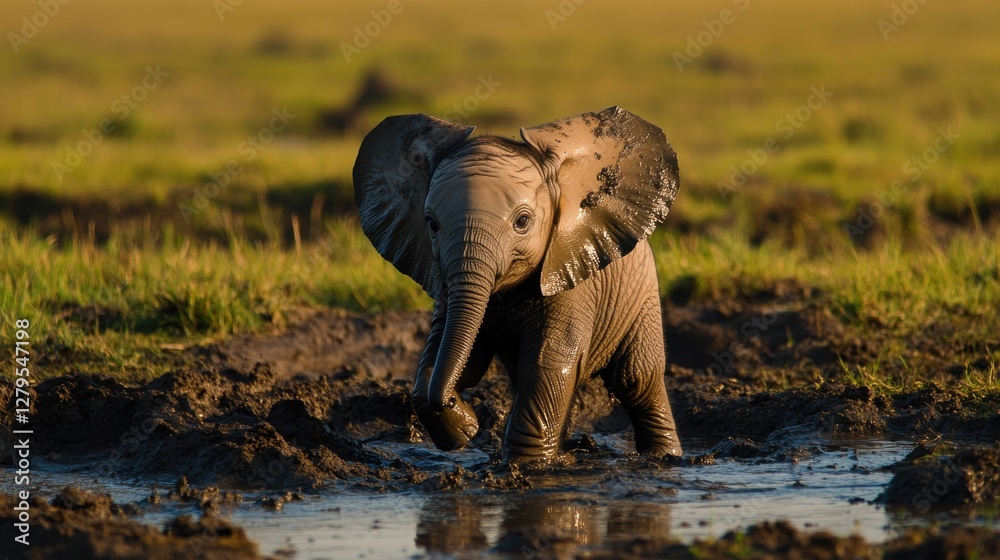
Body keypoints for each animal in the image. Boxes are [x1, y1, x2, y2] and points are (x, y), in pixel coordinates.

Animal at [353, 106, 682, 462]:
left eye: (522, 221)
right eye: (431, 224)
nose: (454, 402)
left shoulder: (570, 280)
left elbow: (545, 366)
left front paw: (525, 465)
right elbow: (448, 352)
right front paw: (463, 429)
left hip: (641, 292)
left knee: (637, 380)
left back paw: (663, 458)